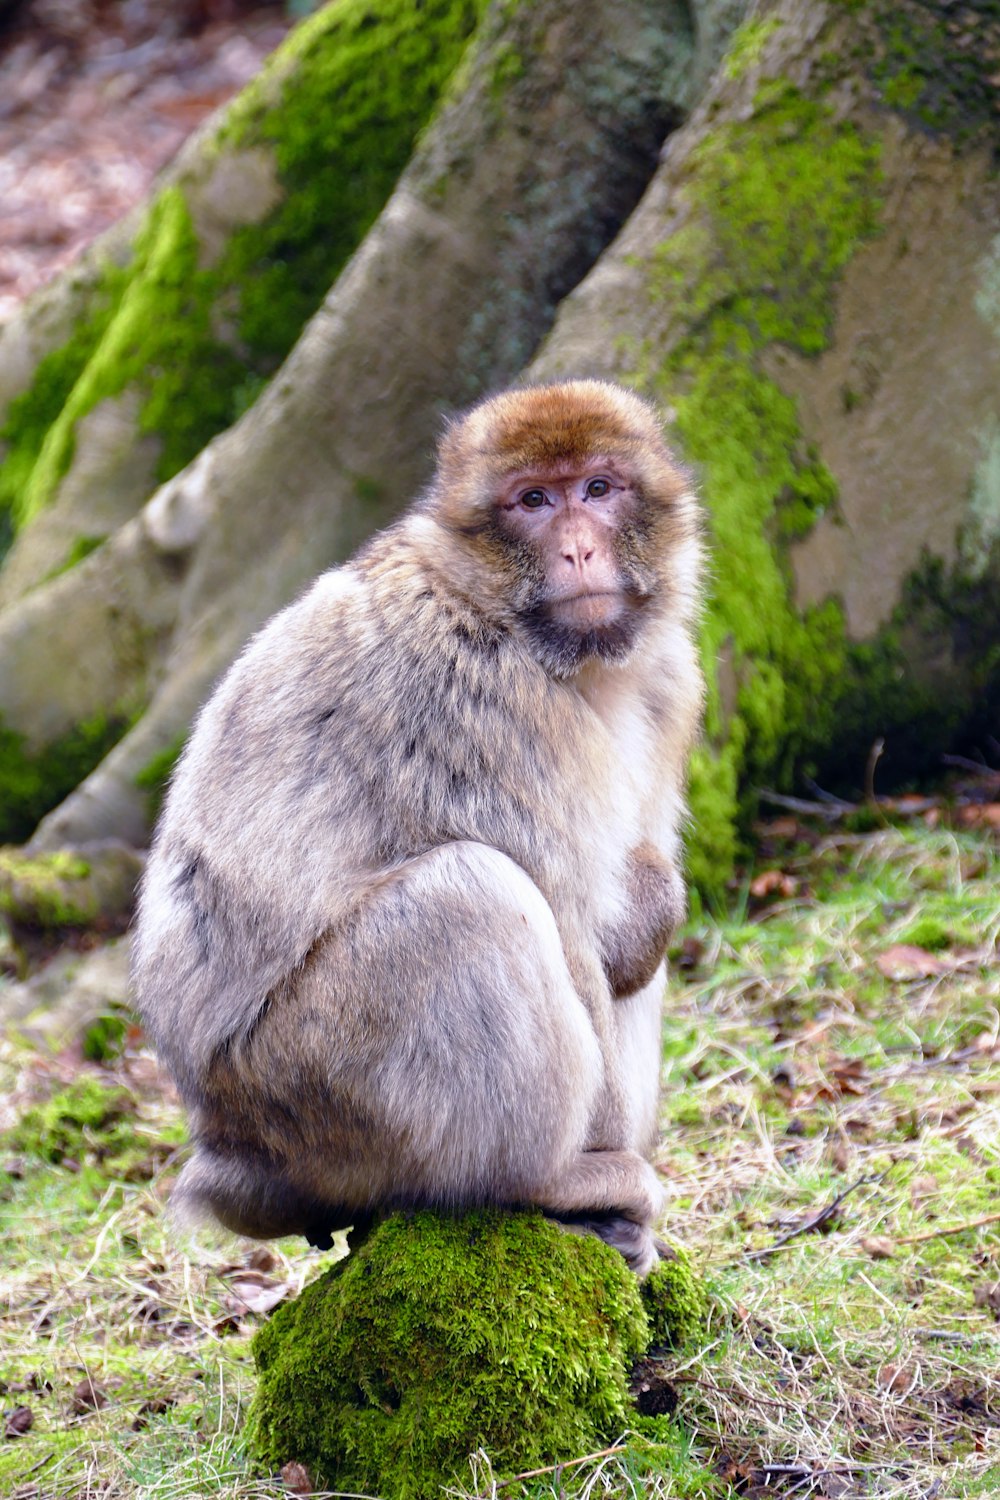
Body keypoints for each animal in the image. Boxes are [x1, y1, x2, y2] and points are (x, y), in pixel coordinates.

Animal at [131, 378, 704, 1278]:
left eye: (598, 488)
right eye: (533, 501)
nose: (578, 550)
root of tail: (228, 1150)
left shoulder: (671, 683)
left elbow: (631, 916)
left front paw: (652, 900)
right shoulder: (489, 705)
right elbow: (574, 930)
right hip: (318, 1083)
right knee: (470, 894)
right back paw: (555, 1176)